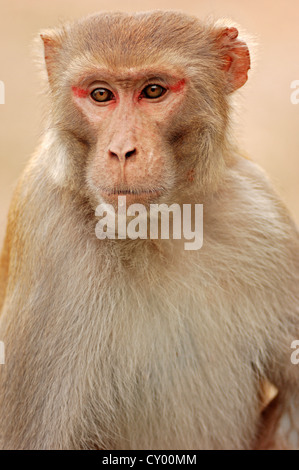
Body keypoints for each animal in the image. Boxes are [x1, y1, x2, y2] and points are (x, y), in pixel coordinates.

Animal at [0, 11, 298, 450]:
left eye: (153, 91)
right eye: (101, 95)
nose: (122, 151)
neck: (153, 229)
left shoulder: (261, 213)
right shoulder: (48, 230)